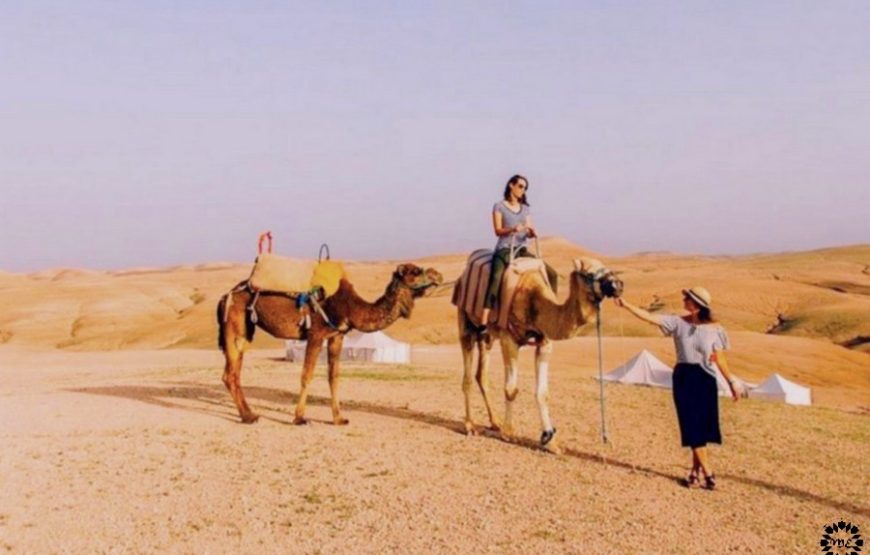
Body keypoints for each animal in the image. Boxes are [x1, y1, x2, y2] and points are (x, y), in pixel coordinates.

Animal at [218, 264, 442, 426]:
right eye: (415, 271)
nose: (437, 275)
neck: (350, 308)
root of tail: (225, 296)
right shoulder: (316, 334)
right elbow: (306, 375)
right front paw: (299, 418)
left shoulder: (337, 336)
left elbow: (333, 377)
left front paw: (338, 419)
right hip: (236, 321)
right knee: (231, 373)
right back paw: (248, 417)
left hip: (246, 329)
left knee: (234, 371)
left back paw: (249, 414)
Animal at [460, 258, 624, 454]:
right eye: (590, 274)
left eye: (607, 268)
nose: (618, 285)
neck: (534, 301)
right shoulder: (509, 339)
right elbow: (511, 389)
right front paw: (509, 433)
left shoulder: (545, 342)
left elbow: (543, 392)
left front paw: (550, 440)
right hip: (466, 323)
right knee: (468, 375)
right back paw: (470, 426)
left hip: (487, 336)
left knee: (481, 374)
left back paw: (495, 423)